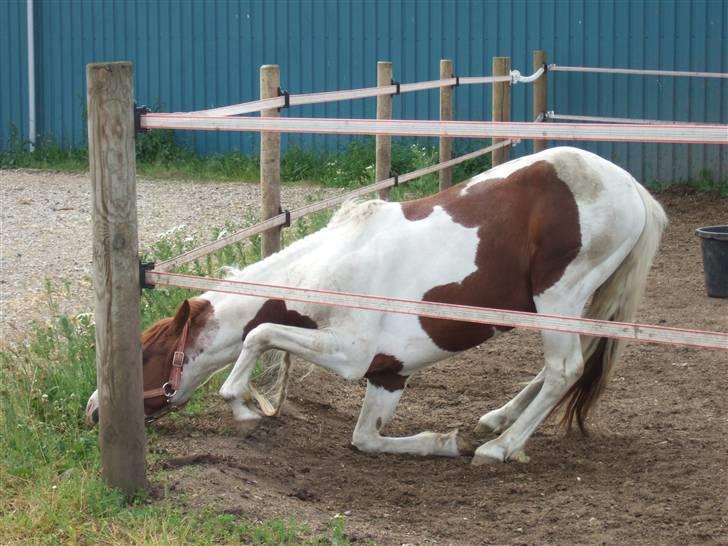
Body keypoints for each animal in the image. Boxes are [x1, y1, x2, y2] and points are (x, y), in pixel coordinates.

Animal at [84, 147, 664, 462]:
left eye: (146, 353)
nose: (93, 411)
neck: (329, 268)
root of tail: (632, 187)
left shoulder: (351, 353)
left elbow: (257, 335)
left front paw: (244, 408)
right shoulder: (388, 374)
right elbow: (365, 439)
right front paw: (441, 442)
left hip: (560, 295)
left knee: (565, 368)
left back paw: (500, 447)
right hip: (575, 303)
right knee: (571, 362)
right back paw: (495, 421)